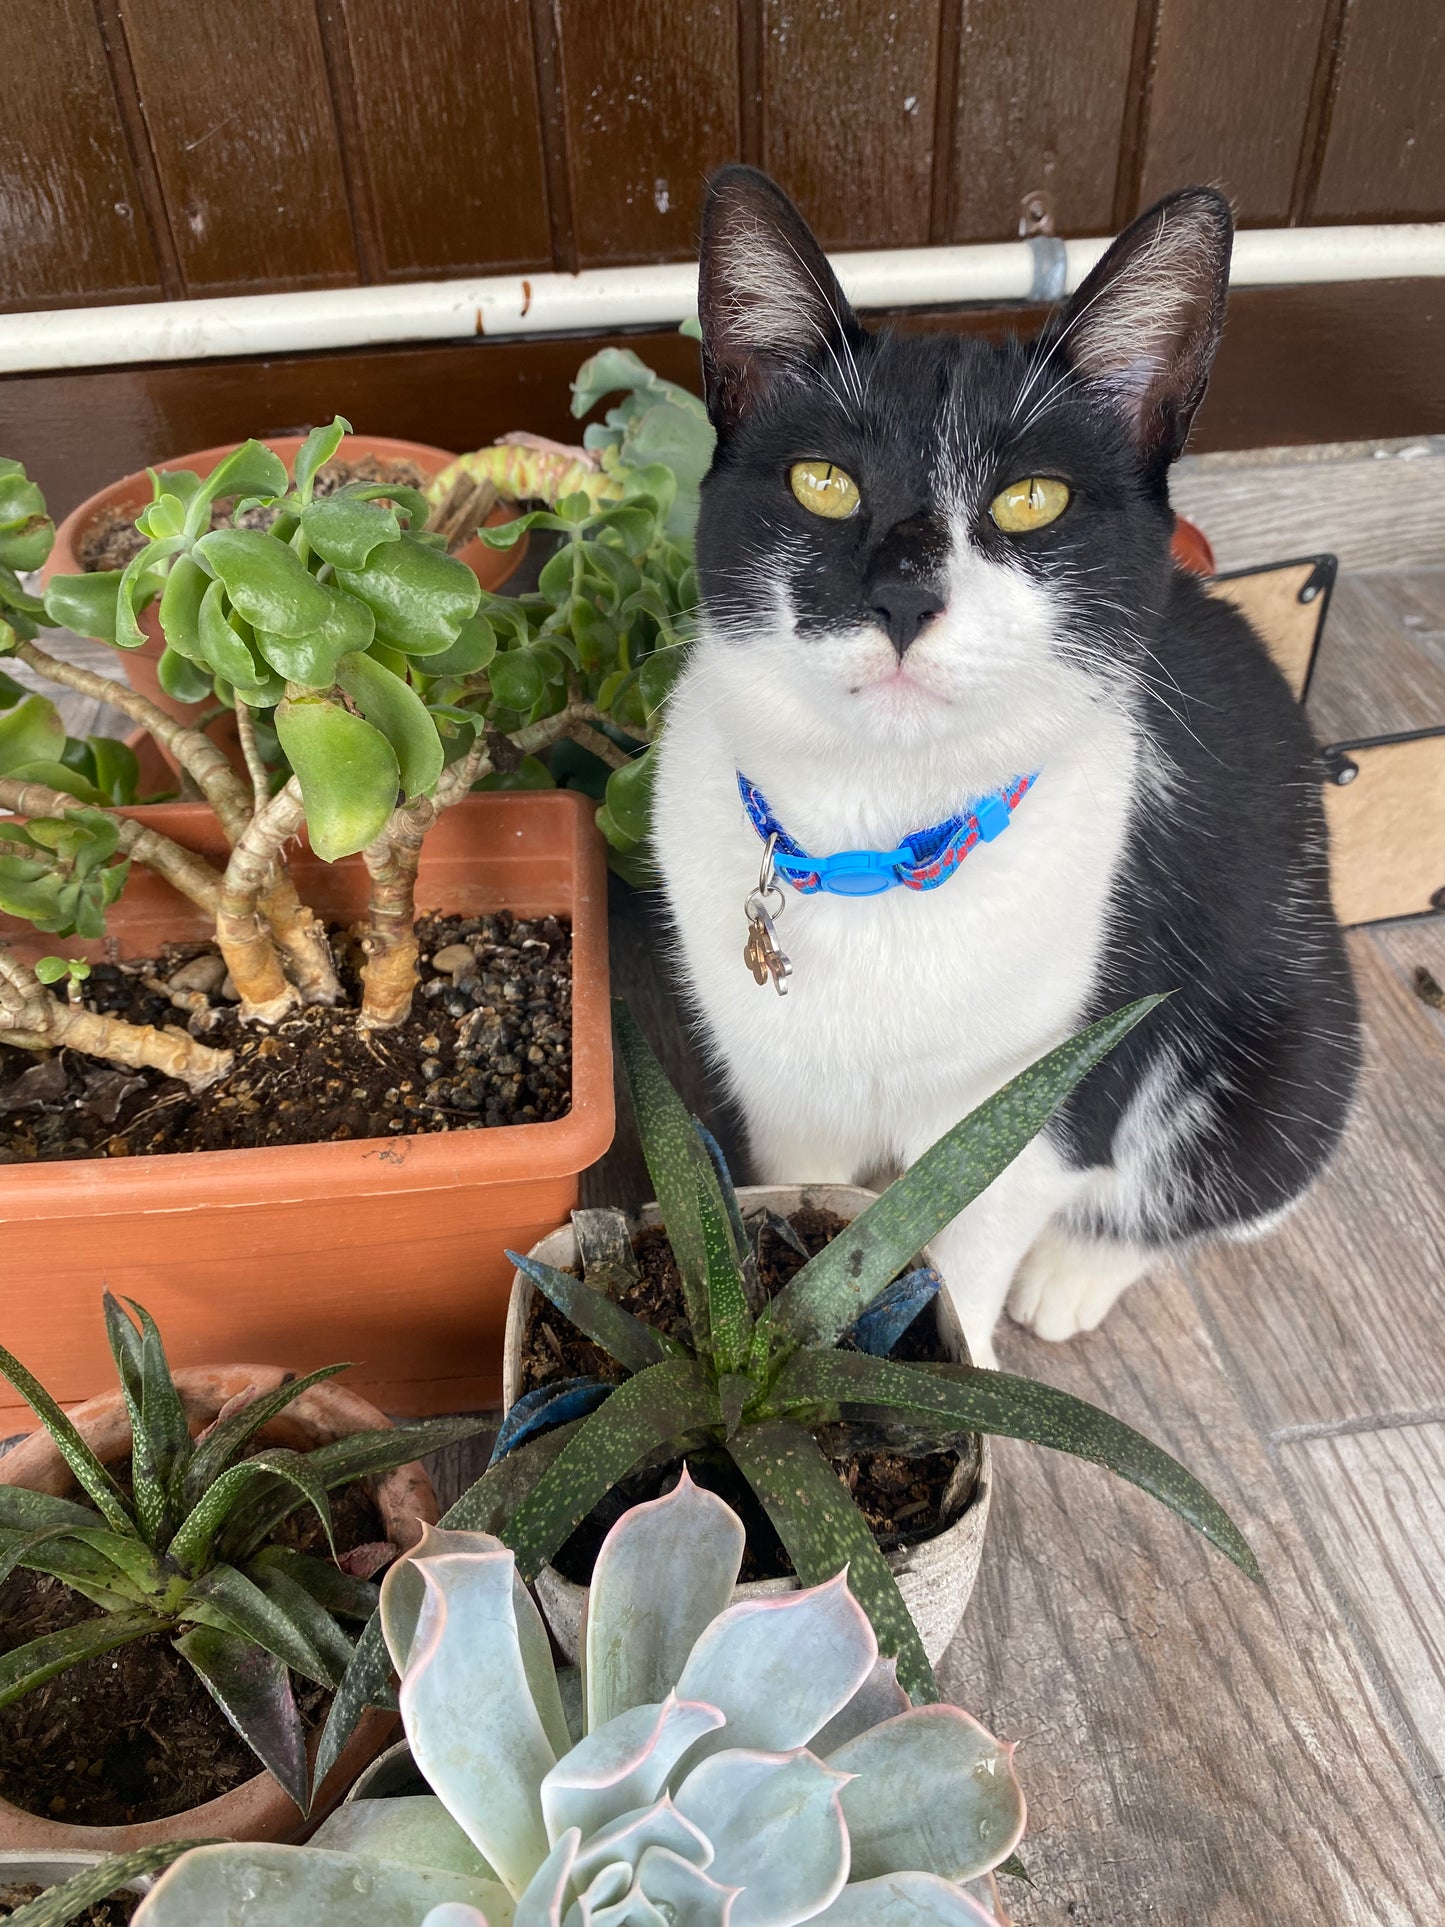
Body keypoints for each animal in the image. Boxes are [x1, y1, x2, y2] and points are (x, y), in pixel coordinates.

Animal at [651, 169, 1364, 1372]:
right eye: (822, 482)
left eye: (1030, 500)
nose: (901, 594)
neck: (879, 840)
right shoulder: (782, 1088)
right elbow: (789, 1214)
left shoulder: (1043, 1099)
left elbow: (968, 1244)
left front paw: (968, 1359)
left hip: (1297, 1041)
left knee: (1224, 1183)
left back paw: (1073, 1273)